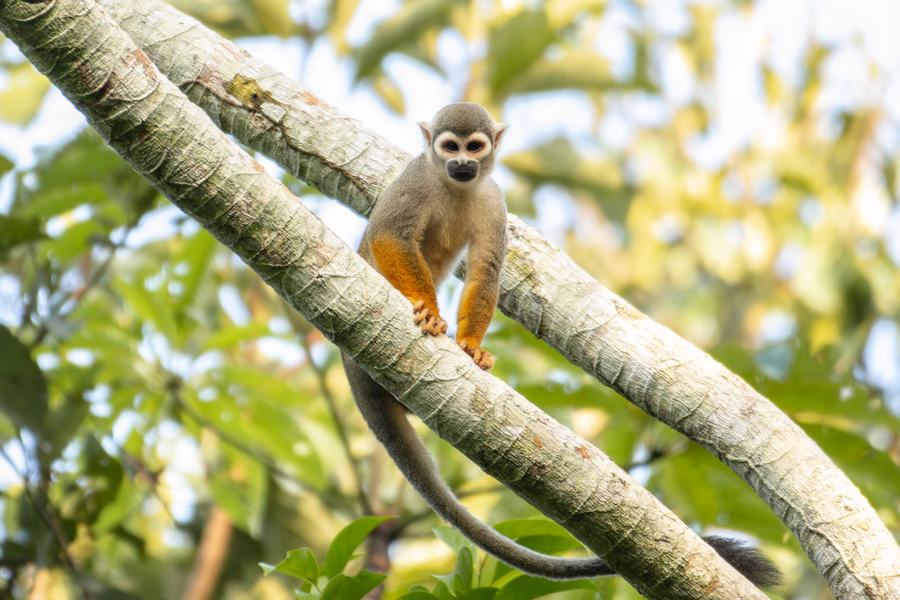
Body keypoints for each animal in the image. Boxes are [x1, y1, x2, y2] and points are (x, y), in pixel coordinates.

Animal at [341, 103, 781, 586]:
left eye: (474, 147)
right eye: (449, 146)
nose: (462, 164)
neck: (455, 186)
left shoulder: (493, 199)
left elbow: (486, 268)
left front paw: (471, 345)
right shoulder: (415, 177)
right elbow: (389, 234)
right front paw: (426, 307)